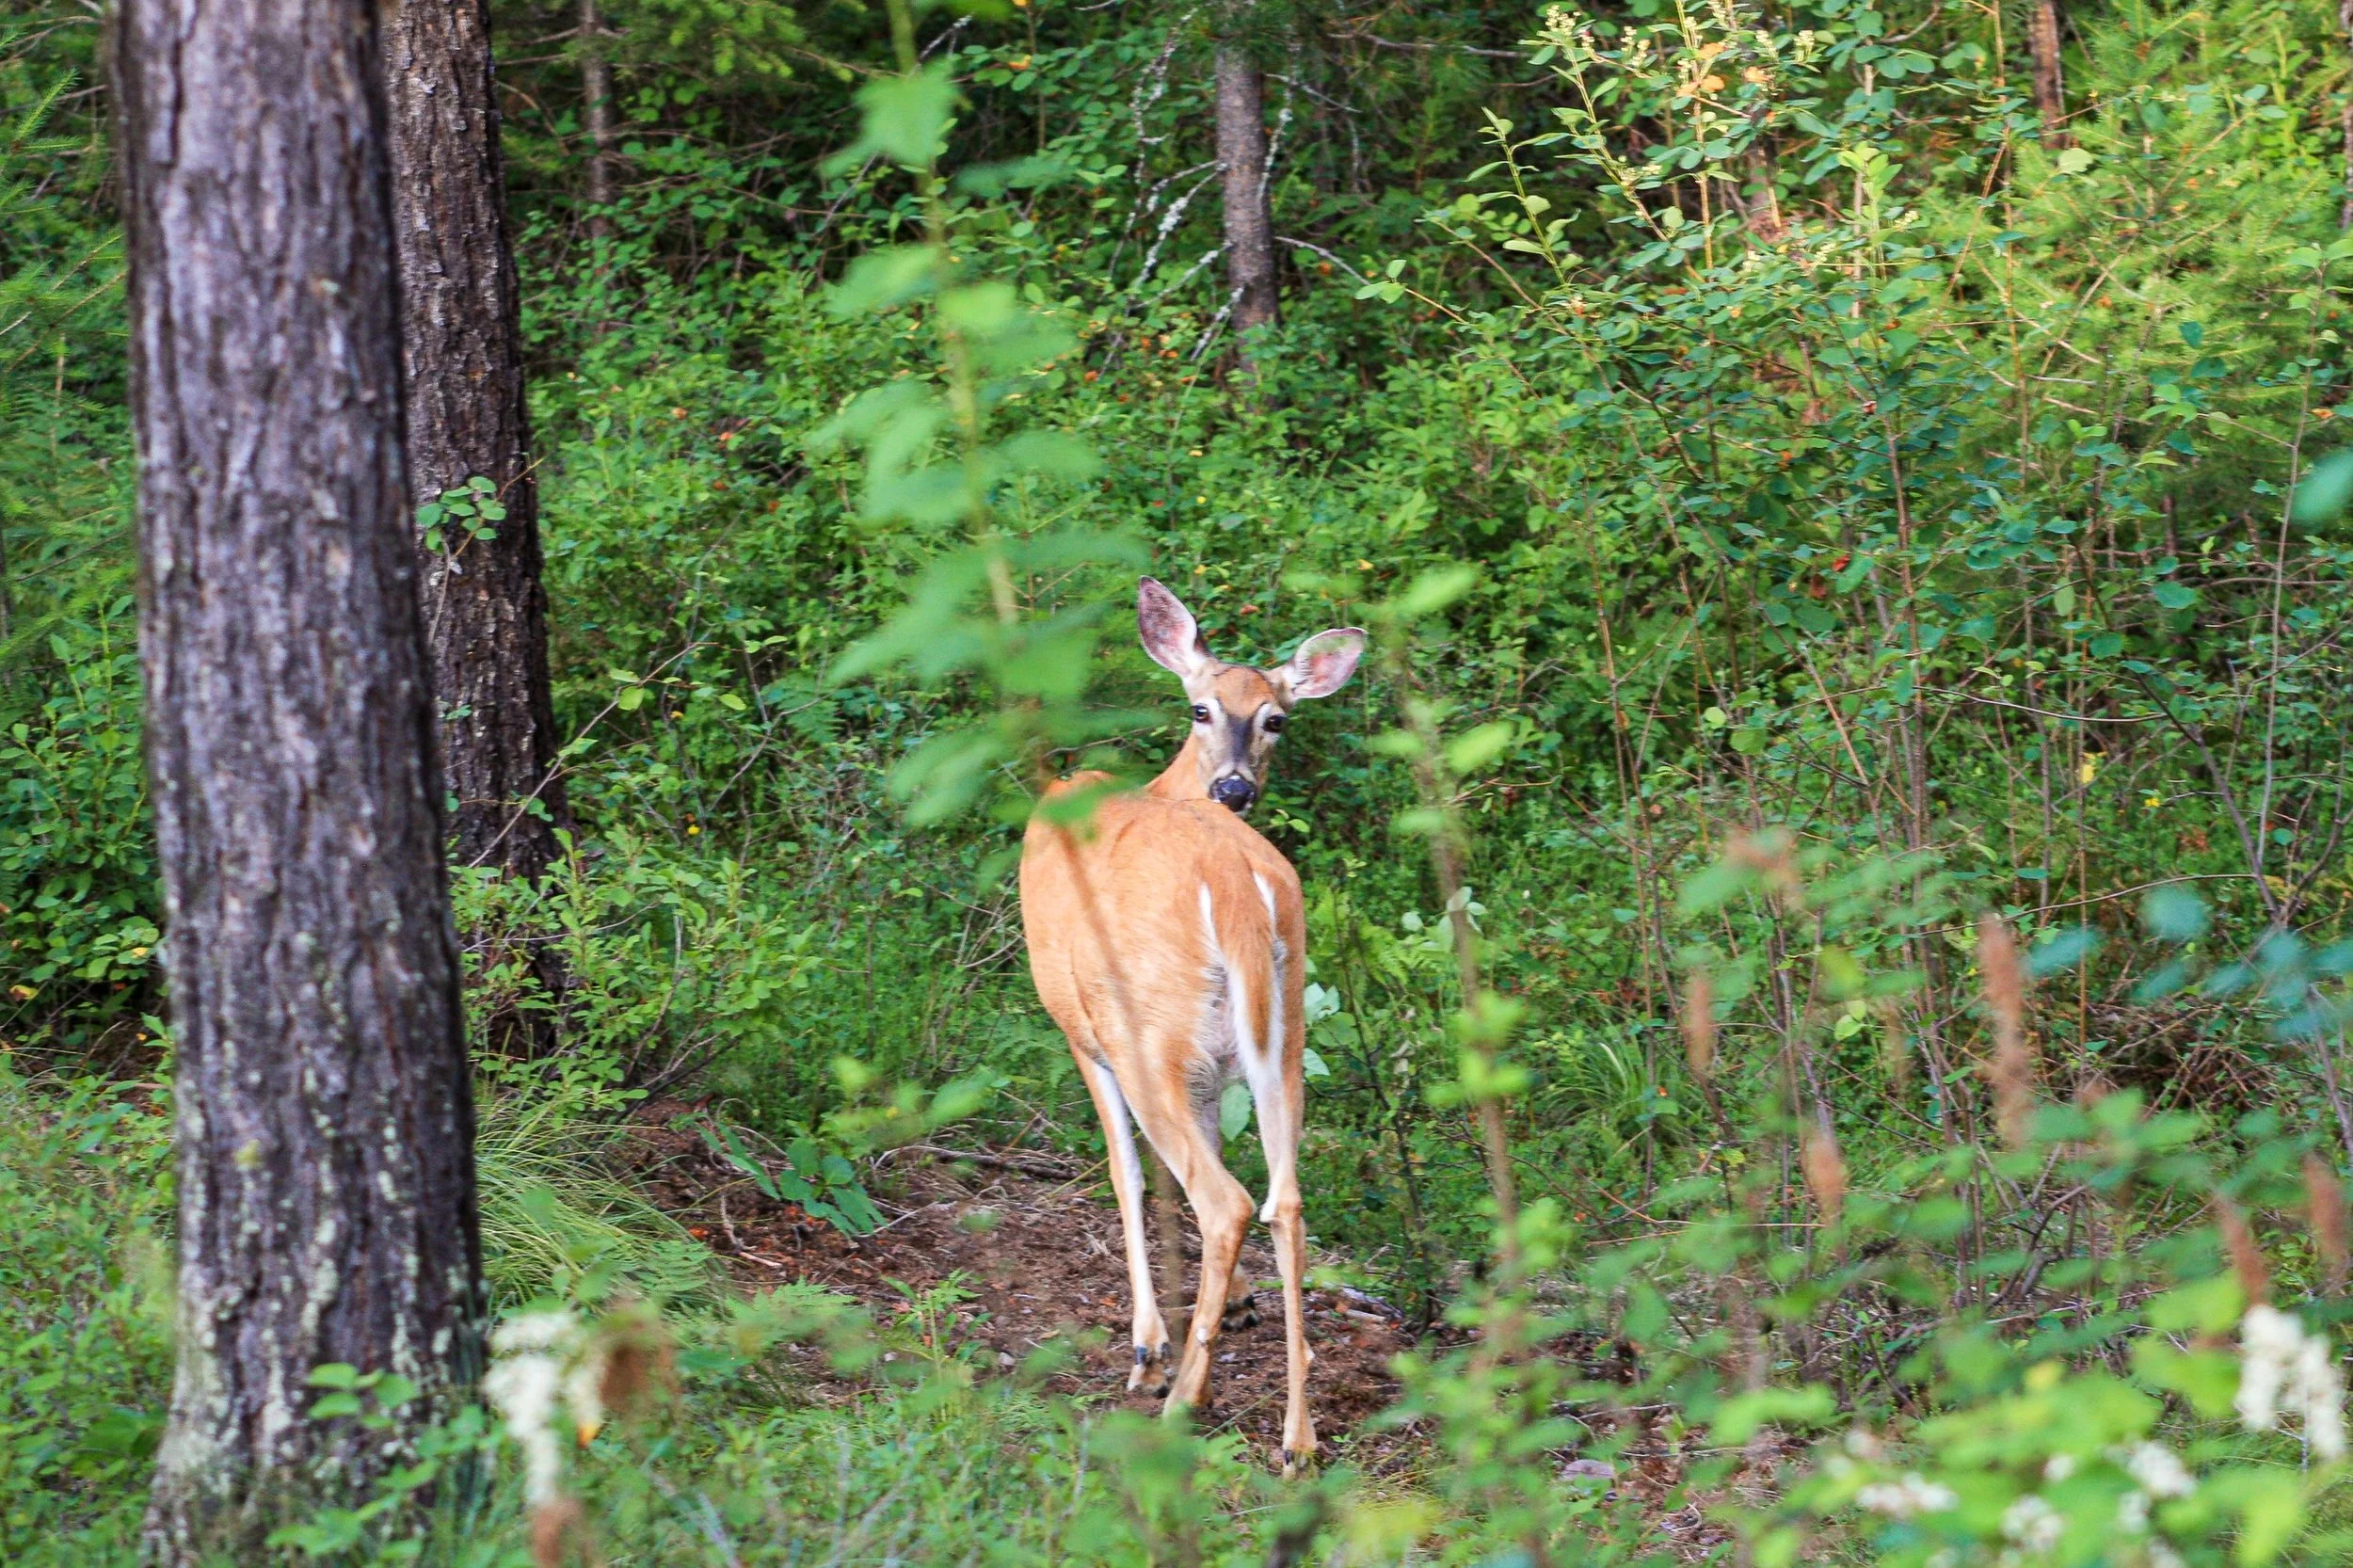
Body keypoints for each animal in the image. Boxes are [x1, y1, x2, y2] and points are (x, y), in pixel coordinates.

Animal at [1019, 577, 1365, 1476]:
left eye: (1276, 718)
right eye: (1202, 708)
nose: (1236, 789)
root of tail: (1239, 889)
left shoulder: (1084, 1033)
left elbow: (1128, 1175)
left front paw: (1149, 1344)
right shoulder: (1213, 1071)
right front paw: (1237, 1307)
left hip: (1146, 1031)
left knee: (1225, 1200)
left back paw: (1178, 1394)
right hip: (1282, 1035)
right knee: (1285, 1199)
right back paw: (1298, 1439)